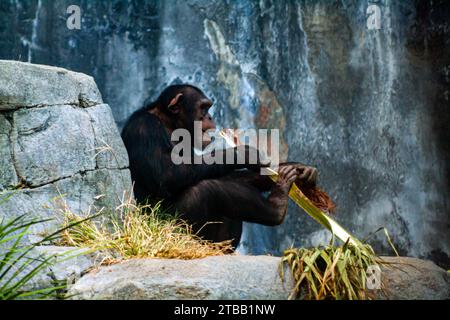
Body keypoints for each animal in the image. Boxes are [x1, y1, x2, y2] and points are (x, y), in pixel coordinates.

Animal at [119, 84, 316, 248]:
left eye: (208, 107)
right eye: (203, 107)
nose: (210, 116)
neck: (169, 123)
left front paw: (295, 169)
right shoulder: (144, 129)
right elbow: (166, 174)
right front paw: (244, 154)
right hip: (175, 229)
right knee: (204, 190)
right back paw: (277, 206)